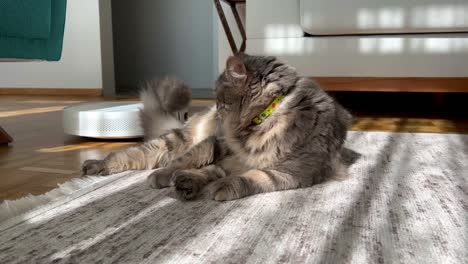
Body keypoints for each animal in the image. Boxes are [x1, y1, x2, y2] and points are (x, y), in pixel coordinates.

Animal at [81, 54, 352, 202]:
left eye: (222, 100)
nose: (217, 111)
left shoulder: (291, 171)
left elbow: (250, 177)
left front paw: (209, 184)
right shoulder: (218, 145)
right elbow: (186, 163)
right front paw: (169, 176)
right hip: (174, 142)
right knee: (130, 155)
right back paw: (95, 165)